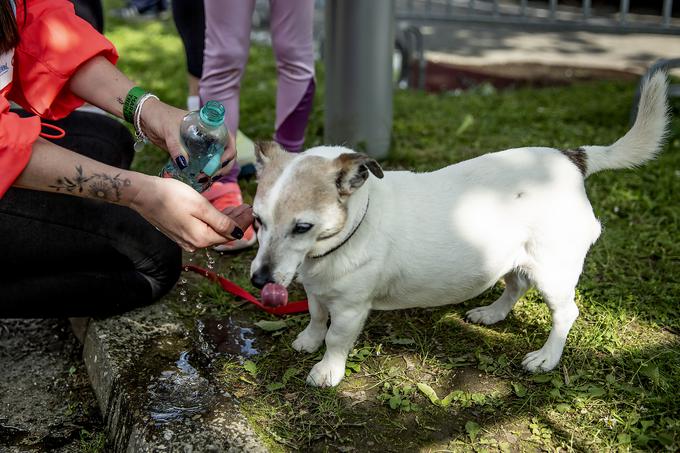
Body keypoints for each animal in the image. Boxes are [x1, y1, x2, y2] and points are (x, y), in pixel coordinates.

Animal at [250, 72, 668, 386]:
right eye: (257, 221)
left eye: (303, 227)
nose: (257, 280)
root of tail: (572, 159)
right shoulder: (318, 291)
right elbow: (317, 316)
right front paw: (308, 340)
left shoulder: (352, 308)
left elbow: (336, 337)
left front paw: (327, 370)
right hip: (512, 256)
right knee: (516, 285)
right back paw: (492, 315)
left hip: (553, 272)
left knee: (566, 314)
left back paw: (546, 357)